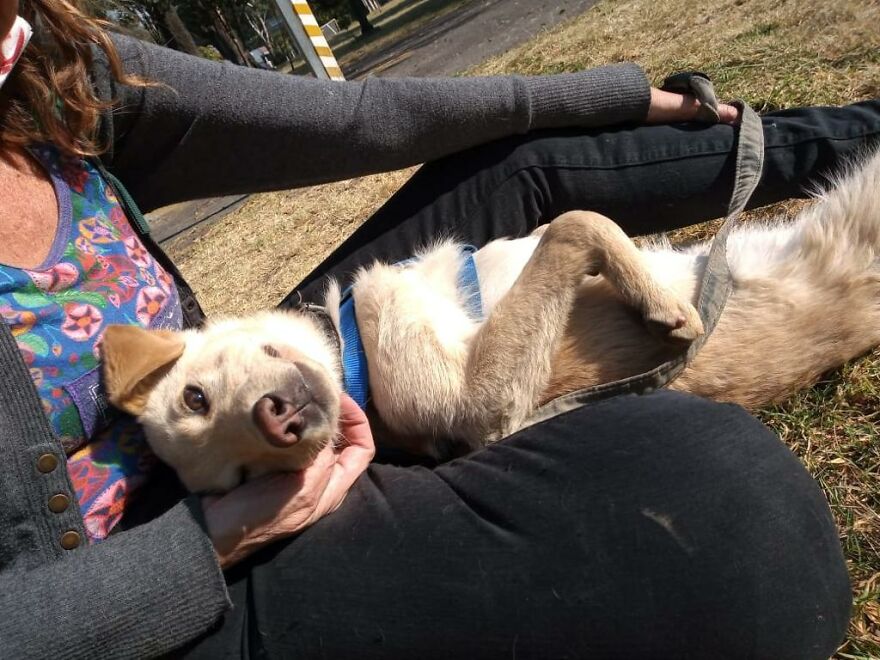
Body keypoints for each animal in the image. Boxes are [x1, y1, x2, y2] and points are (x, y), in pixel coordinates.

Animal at [101, 150, 880, 490]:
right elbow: (576, 222)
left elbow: (576, 221)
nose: (278, 424)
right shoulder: (481, 401)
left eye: (194, 396)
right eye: (245, 480)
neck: (353, 352)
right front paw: (662, 305)